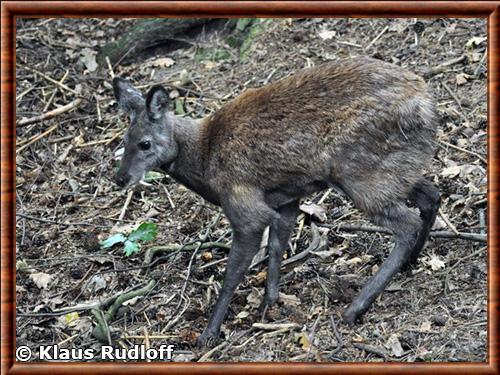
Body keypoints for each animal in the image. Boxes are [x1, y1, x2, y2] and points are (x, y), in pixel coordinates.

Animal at [112, 57, 438, 348]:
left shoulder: (243, 203)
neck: (204, 160)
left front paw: (209, 334)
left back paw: (354, 308)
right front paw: (269, 302)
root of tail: (428, 105)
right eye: (124, 140)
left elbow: (232, 274)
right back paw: (411, 262)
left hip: (359, 173)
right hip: (393, 170)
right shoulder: (286, 198)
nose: (120, 178)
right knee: (432, 195)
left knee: (408, 223)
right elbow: (278, 245)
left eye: (145, 143)